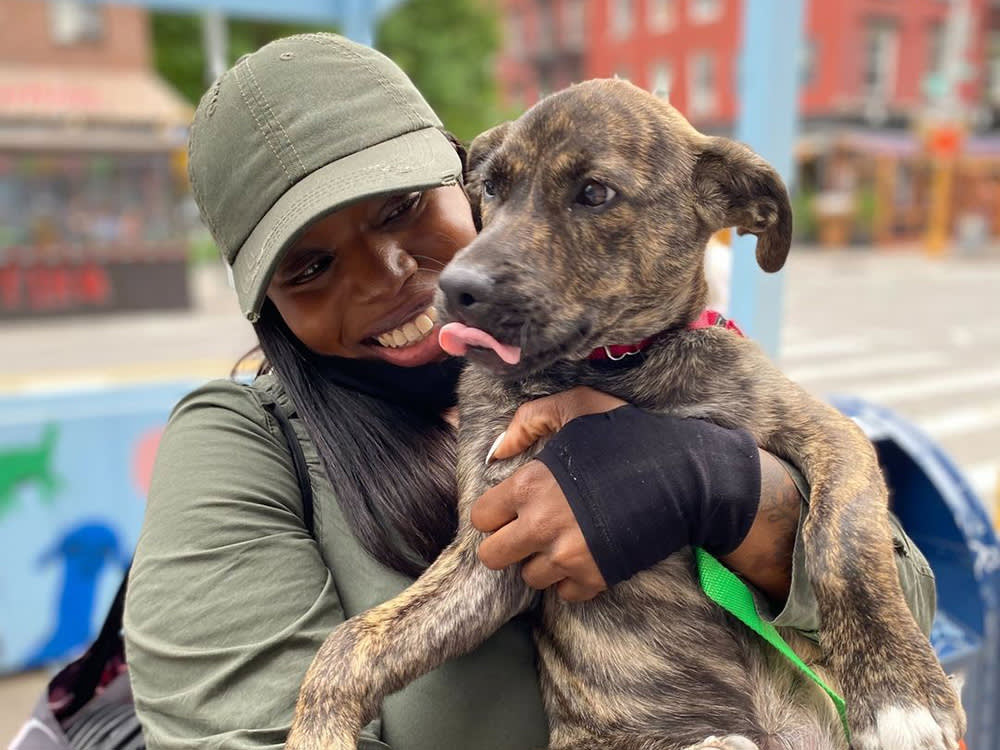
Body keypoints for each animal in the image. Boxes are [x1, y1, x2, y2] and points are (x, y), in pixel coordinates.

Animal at [286, 79, 964, 748]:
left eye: (594, 193)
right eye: (493, 188)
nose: (455, 289)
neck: (612, 369)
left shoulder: (824, 430)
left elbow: (841, 539)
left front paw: (900, 694)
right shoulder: (493, 539)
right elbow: (350, 643)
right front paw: (316, 734)